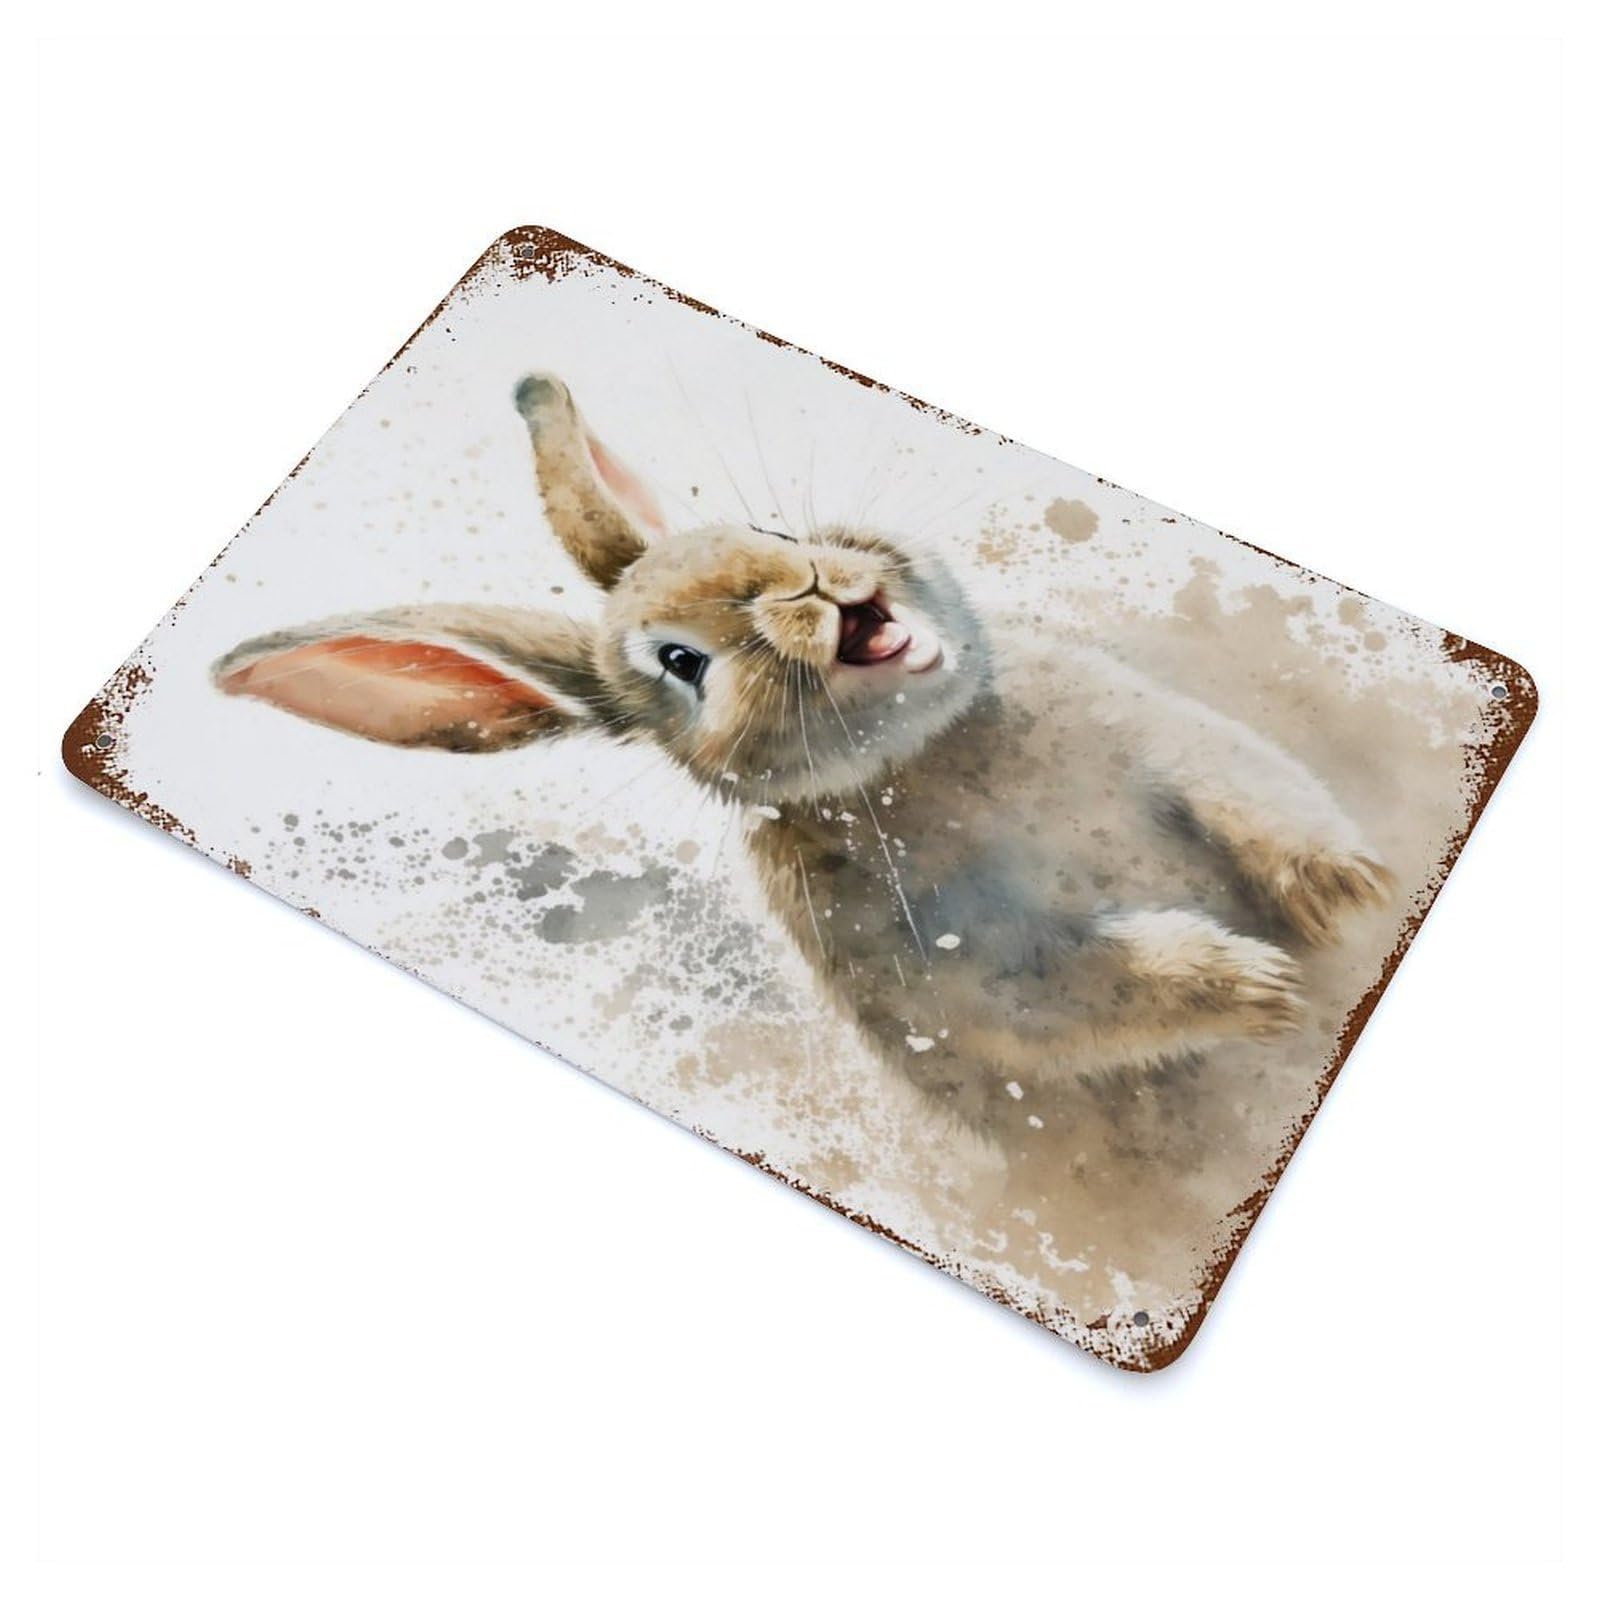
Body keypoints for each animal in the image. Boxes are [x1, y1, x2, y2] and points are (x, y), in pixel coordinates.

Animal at [213, 373, 1393, 1130]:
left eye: (775, 532)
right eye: (681, 661)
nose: (810, 583)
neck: (919, 757)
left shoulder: (1168, 735)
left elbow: (1252, 791)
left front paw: (1347, 893)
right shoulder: (920, 962)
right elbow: (1060, 990)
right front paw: (1257, 986)